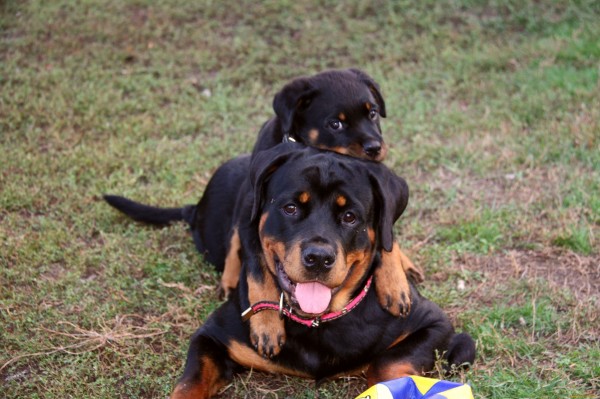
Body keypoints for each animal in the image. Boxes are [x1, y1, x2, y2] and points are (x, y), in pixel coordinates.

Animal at [159, 144, 474, 399]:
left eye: (350, 217)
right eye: (290, 208)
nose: (319, 258)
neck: (318, 322)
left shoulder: (434, 323)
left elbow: (386, 363)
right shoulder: (212, 336)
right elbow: (189, 384)